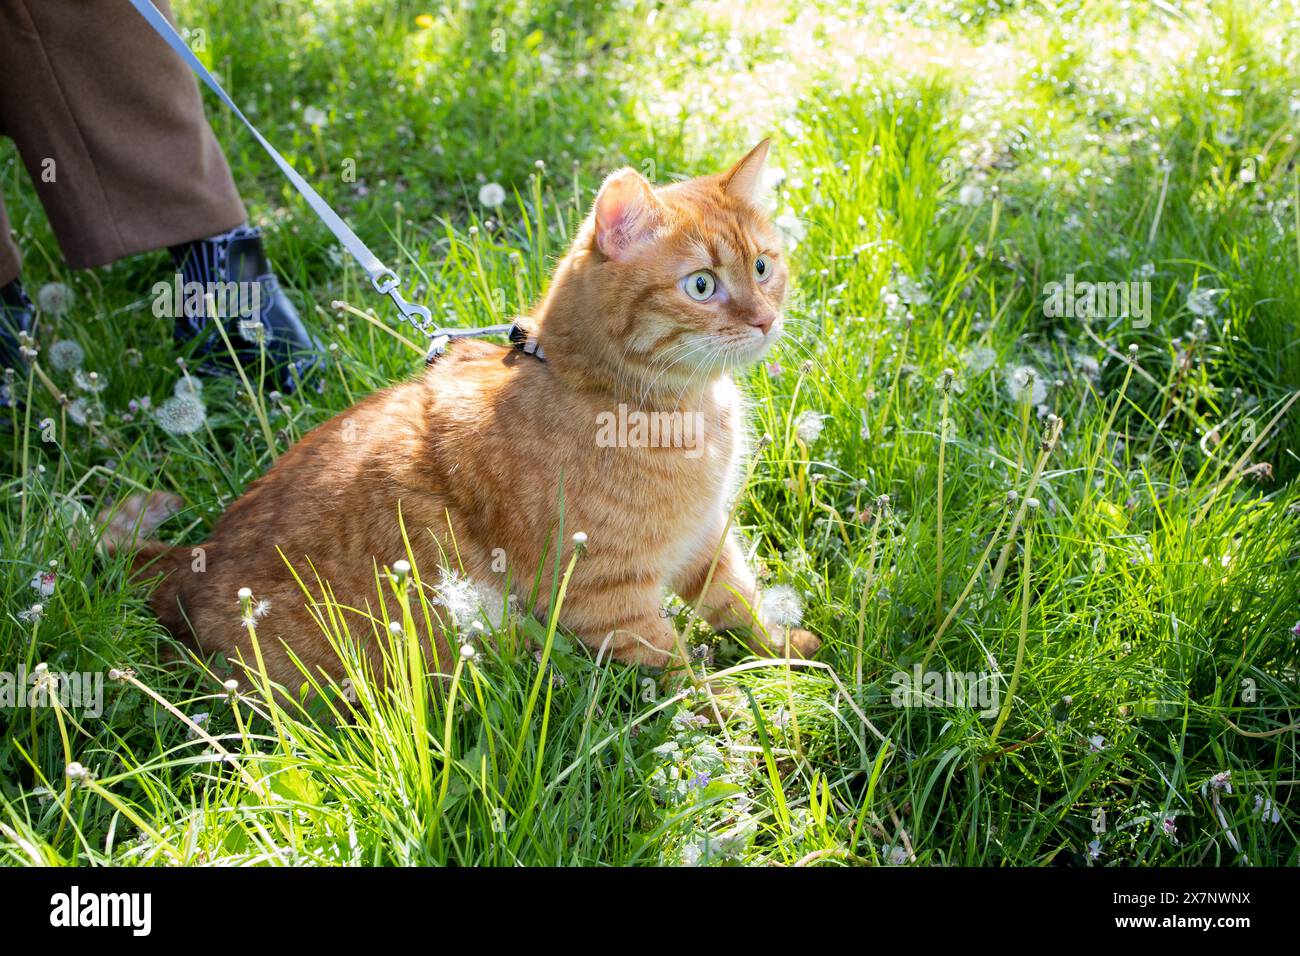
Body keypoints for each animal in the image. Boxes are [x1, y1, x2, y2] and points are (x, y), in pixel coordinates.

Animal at [114, 140, 821, 686]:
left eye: (764, 266)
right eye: (701, 285)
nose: (764, 318)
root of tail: (192, 558)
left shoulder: (705, 537)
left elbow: (738, 601)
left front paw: (787, 650)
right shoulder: (605, 597)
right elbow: (680, 675)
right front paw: (738, 718)